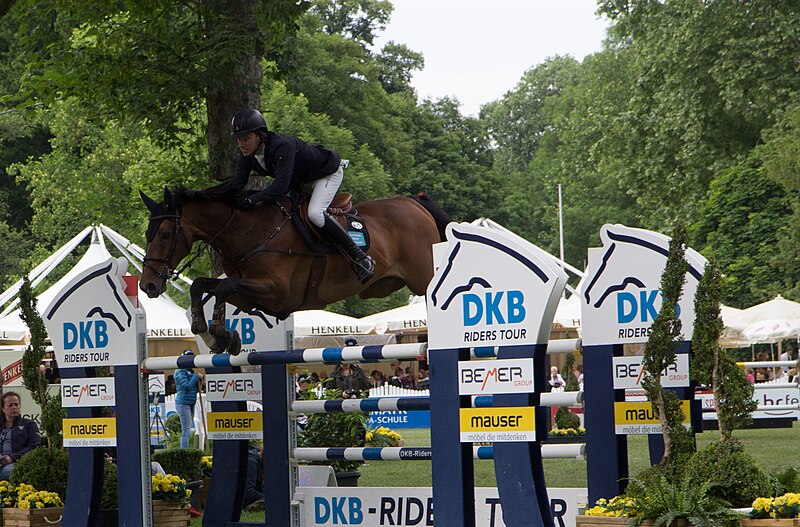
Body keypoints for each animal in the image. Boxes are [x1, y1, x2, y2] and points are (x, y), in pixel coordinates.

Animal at [138, 187, 450, 354]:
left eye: (164, 235)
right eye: (147, 233)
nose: (147, 286)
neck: (248, 231)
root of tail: (414, 203)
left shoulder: (277, 292)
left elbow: (222, 288)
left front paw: (220, 334)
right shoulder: (250, 294)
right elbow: (202, 286)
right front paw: (211, 335)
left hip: (423, 278)